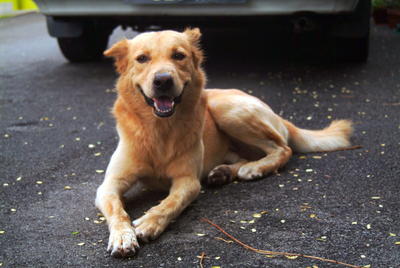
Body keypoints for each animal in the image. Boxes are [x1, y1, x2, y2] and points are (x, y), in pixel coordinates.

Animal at [95, 27, 352, 258]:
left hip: (225, 110)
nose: (163, 80)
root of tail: (276, 114)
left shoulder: (188, 182)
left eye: (178, 55)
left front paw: (150, 222)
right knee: (247, 155)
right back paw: (224, 172)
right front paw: (122, 236)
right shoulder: (109, 185)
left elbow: (170, 203)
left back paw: (255, 168)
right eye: (142, 59)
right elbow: (118, 210)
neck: (159, 129)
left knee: (282, 147)